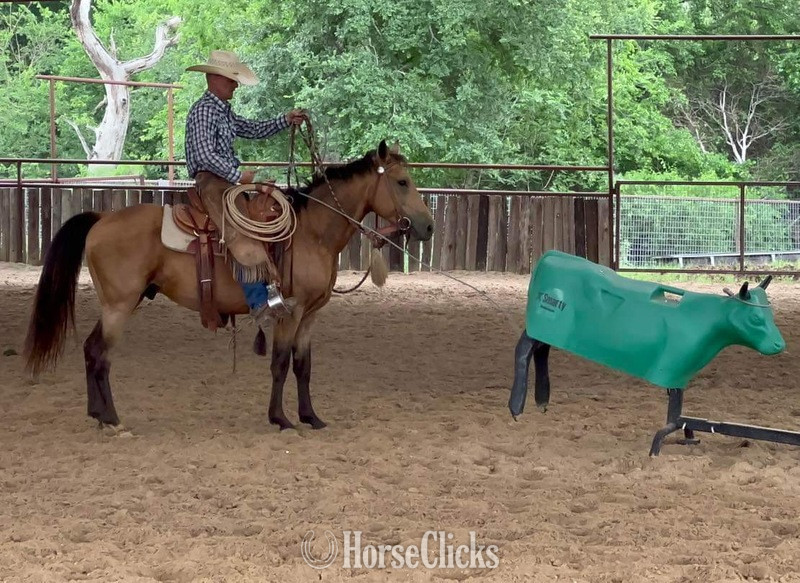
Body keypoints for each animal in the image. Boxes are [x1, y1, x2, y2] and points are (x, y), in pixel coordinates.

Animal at [24, 140, 434, 431]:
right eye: (402, 182)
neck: (312, 232)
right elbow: (280, 363)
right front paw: (280, 419)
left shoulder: (311, 315)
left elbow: (303, 366)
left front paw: (311, 417)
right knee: (101, 355)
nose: (427, 226)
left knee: (91, 350)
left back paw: (98, 414)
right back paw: (111, 418)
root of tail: (100, 219)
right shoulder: (290, 312)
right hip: (118, 306)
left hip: (120, 303)